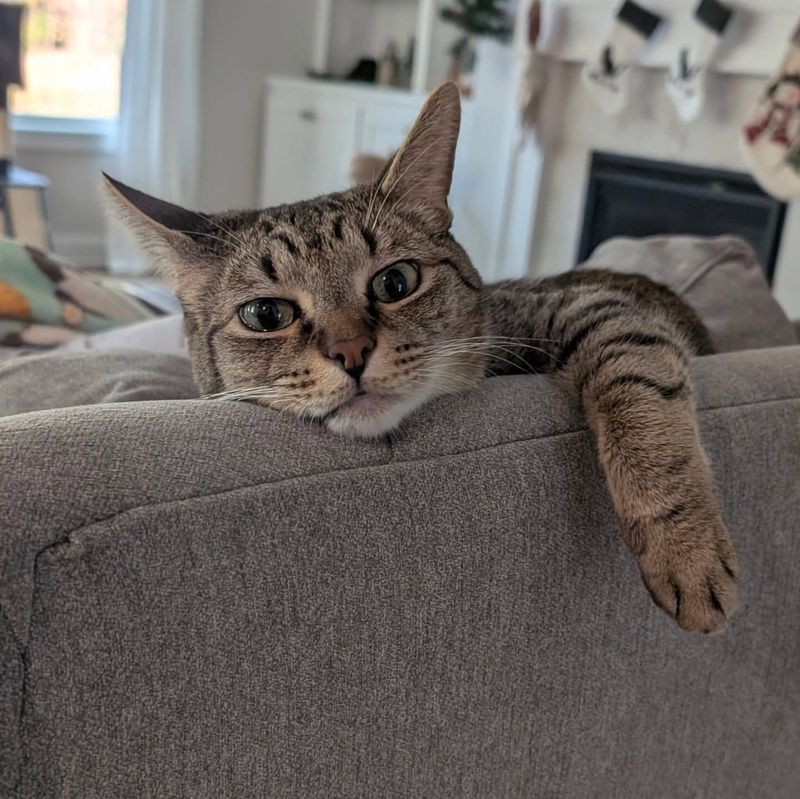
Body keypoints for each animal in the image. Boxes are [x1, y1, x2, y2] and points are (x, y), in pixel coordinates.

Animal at [104, 79, 736, 632]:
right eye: (266, 316)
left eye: (396, 282)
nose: (350, 350)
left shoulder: (598, 308)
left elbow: (639, 386)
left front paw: (685, 551)